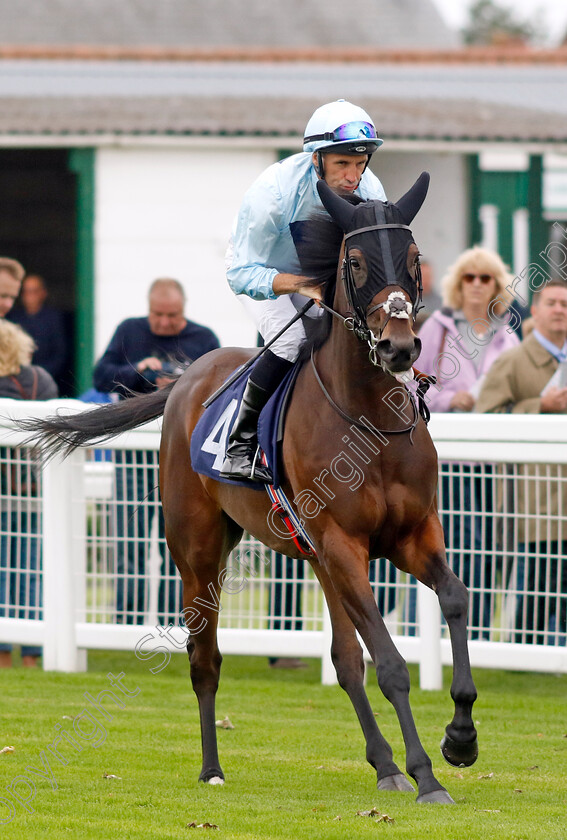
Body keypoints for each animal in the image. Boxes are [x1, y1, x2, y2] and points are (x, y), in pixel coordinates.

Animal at [20, 171, 480, 800]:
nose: (400, 346)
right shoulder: (344, 544)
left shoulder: (410, 535)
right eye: (355, 262)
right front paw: (425, 773)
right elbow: (389, 662)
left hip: (314, 559)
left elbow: (453, 599)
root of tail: (184, 379)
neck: (368, 422)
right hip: (199, 551)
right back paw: (212, 767)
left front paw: (460, 739)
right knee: (205, 656)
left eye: (414, 259)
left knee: (343, 660)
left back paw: (382, 764)